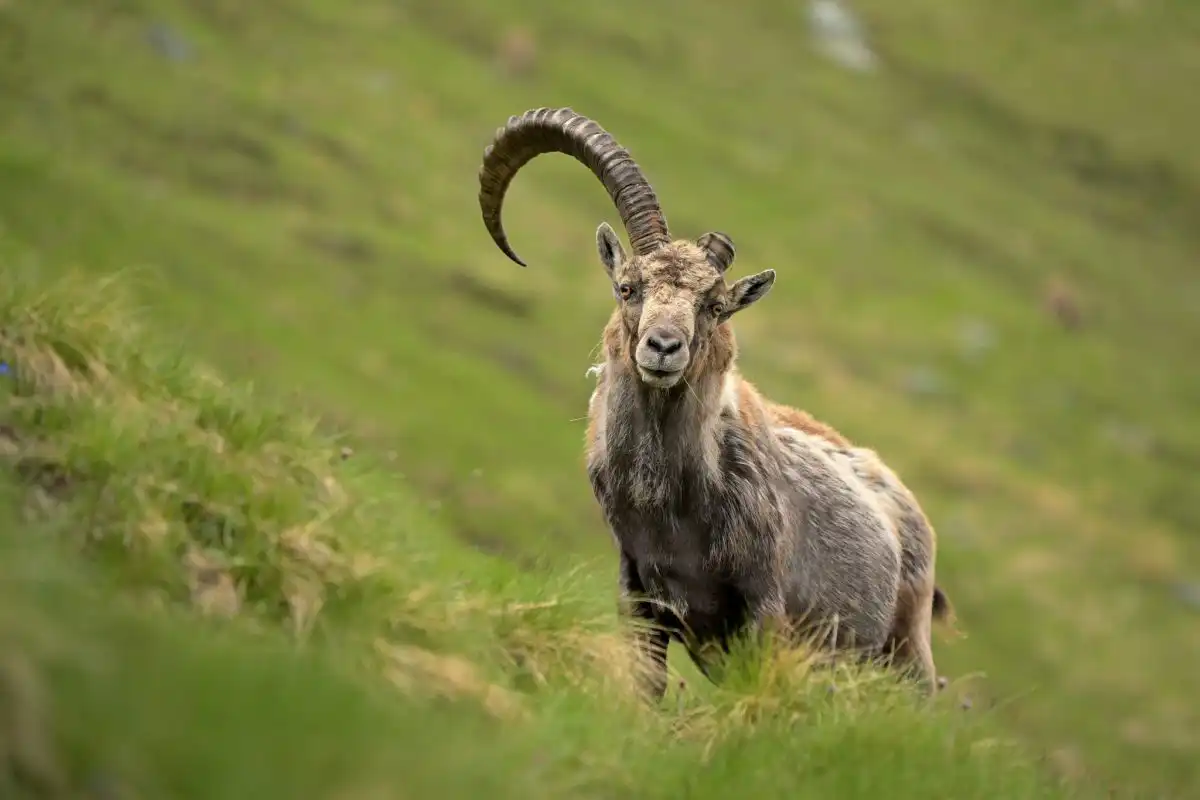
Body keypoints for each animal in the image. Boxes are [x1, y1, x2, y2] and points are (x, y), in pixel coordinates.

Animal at [477, 107, 953, 700]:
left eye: (714, 306)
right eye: (629, 287)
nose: (662, 346)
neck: (668, 506)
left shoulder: (763, 607)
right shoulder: (639, 593)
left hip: (905, 655)